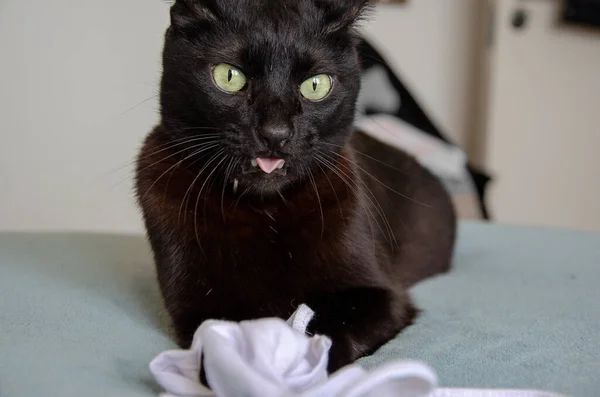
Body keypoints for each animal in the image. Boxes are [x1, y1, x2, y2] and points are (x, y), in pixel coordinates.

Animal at [136, 0, 454, 372]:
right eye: (229, 76)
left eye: (316, 85)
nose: (276, 133)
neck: (264, 212)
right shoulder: (200, 307)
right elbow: (218, 339)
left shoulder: (383, 294)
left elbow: (334, 327)